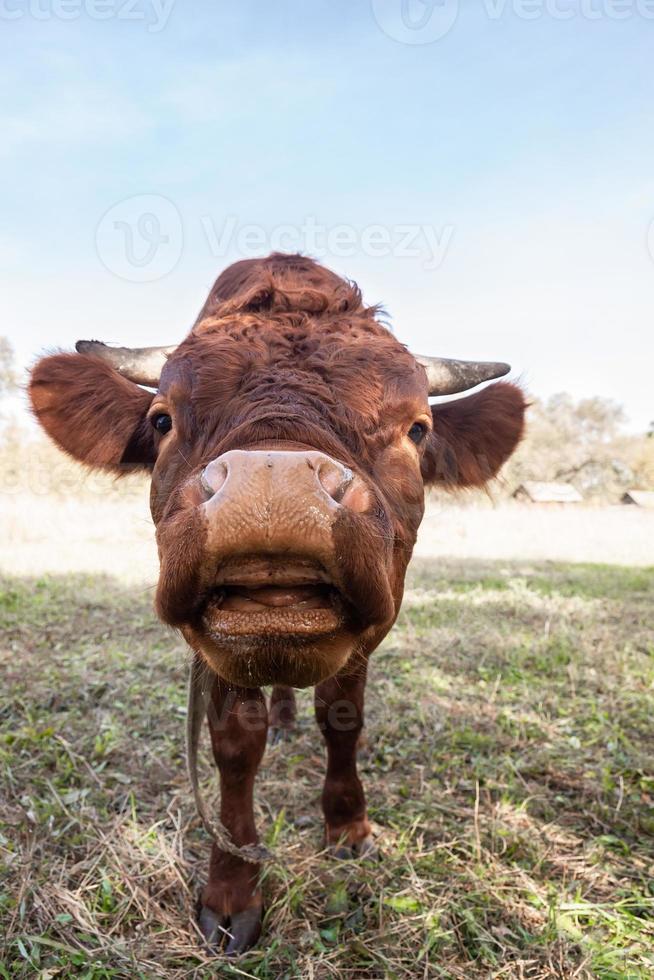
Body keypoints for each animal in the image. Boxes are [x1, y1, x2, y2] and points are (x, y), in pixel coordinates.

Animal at [29, 255, 528, 956]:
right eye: (162, 420)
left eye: (417, 428)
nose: (273, 484)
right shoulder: (210, 651)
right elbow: (237, 744)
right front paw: (232, 889)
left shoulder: (371, 631)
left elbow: (343, 718)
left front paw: (347, 827)